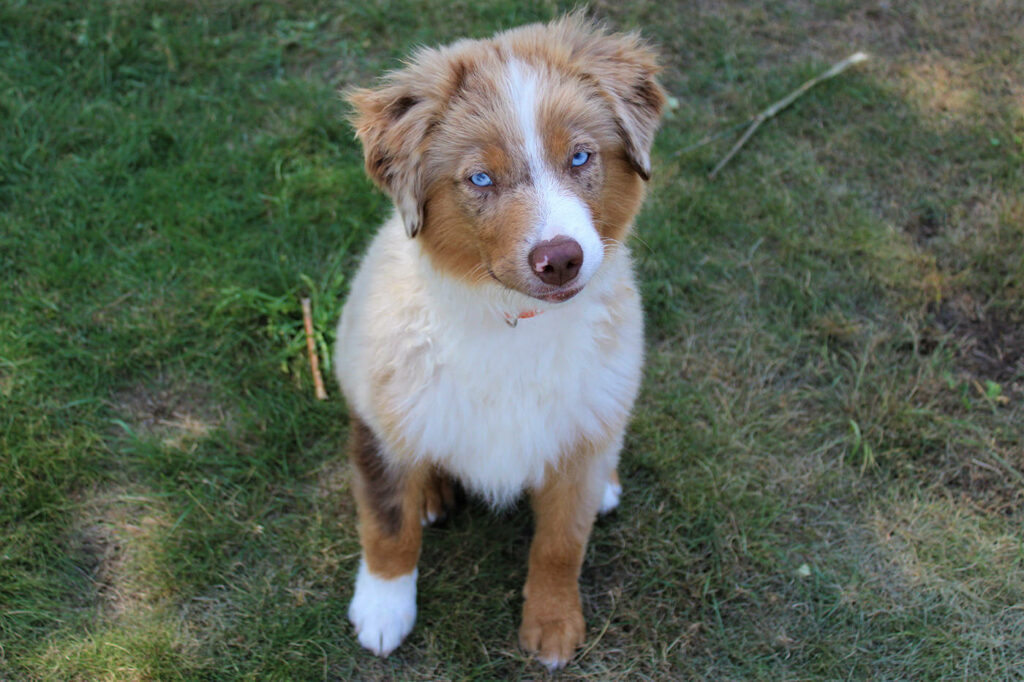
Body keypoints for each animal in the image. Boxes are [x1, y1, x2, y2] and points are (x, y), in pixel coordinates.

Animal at [333, 13, 663, 667]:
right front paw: (382, 610)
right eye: (480, 178)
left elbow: (562, 541)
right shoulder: (382, 418)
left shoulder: (582, 430)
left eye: (581, 156)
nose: (560, 259)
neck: (513, 320)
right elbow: (387, 522)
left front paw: (554, 625)